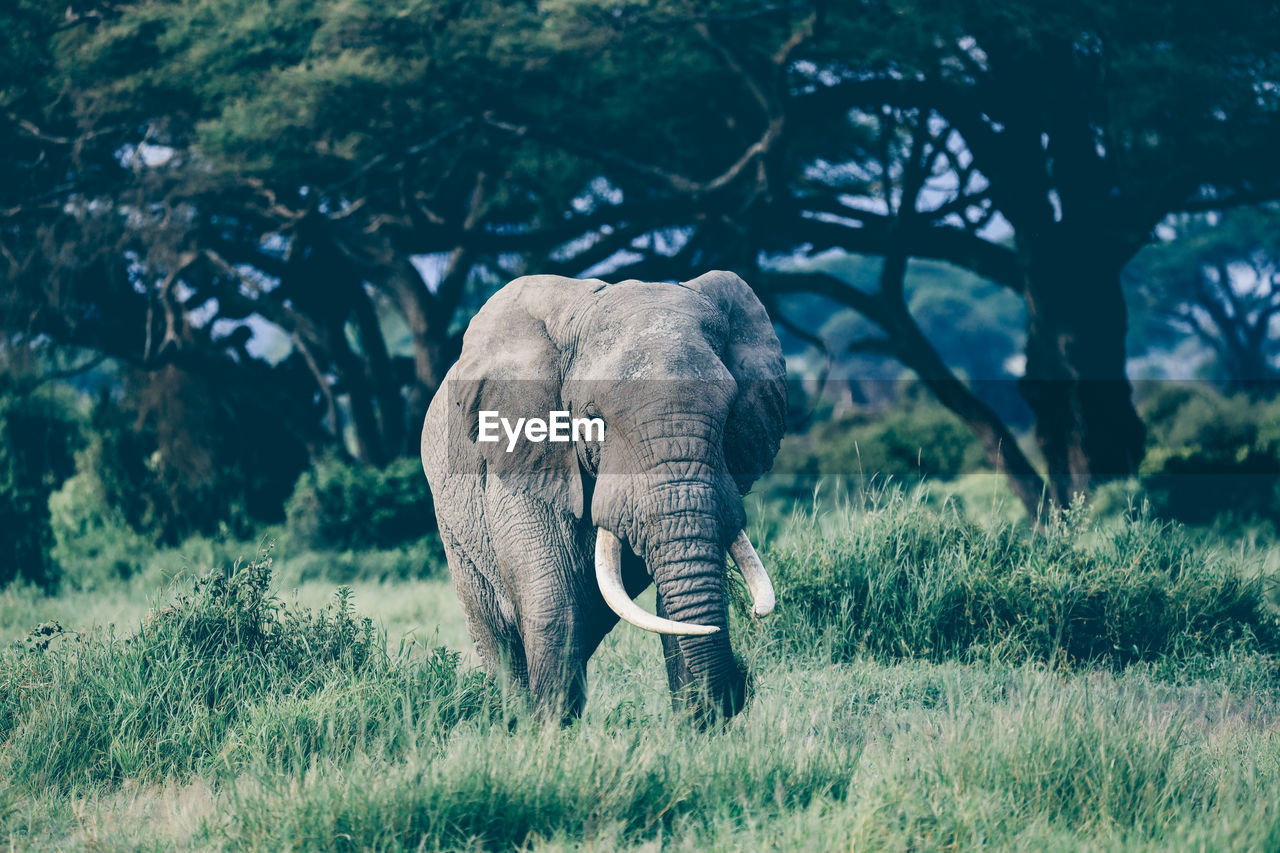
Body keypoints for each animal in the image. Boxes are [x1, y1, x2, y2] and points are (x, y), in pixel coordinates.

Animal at [419, 268, 783, 722]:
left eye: (731, 411)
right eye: (595, 419)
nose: (742, 682)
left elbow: (672, 608)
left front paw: (697, 729)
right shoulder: (522, 459)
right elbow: (554, 606)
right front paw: (549, 732)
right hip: (455, 531)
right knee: (499, 637)